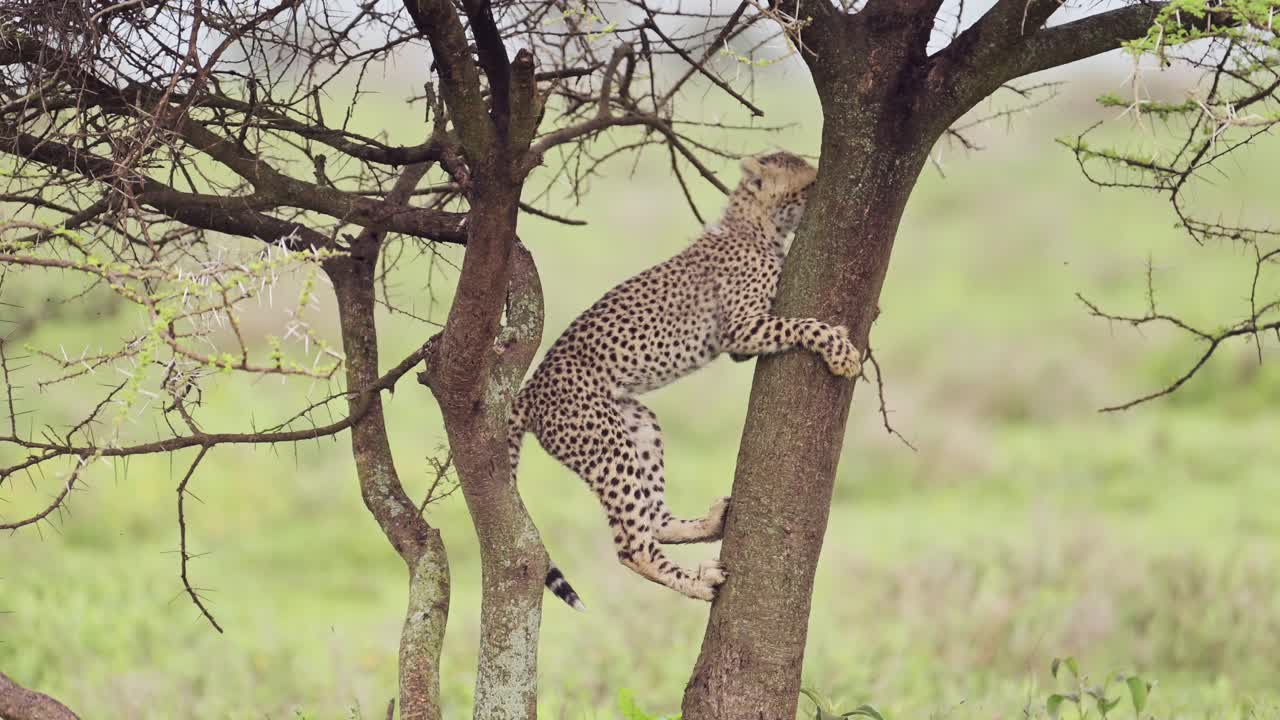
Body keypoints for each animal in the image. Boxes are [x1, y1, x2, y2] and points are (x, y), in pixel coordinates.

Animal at [508, 150, 862, 610]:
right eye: (808, 185)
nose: (822, 190)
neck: (754, 224)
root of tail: (528, 391)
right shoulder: (741, 330)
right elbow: (802, 325)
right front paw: (842, 352)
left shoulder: (742, 341)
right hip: (605, 444)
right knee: (632, 546)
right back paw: (698, 582)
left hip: (636, 424)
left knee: (653, 517)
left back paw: (708, 525)